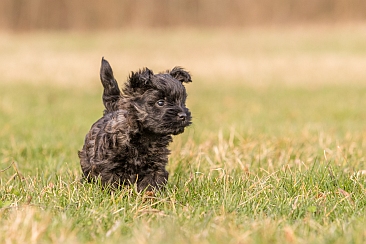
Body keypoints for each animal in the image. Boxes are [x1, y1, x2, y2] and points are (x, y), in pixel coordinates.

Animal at [77, 58, 192, 192]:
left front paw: (148, 196)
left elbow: (151, 184)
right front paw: (112, 194)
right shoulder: (108, 164)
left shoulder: (155, 166)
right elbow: (110, 182)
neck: (146, 135)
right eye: (160, 102)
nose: (183, 115)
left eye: (182, 101)